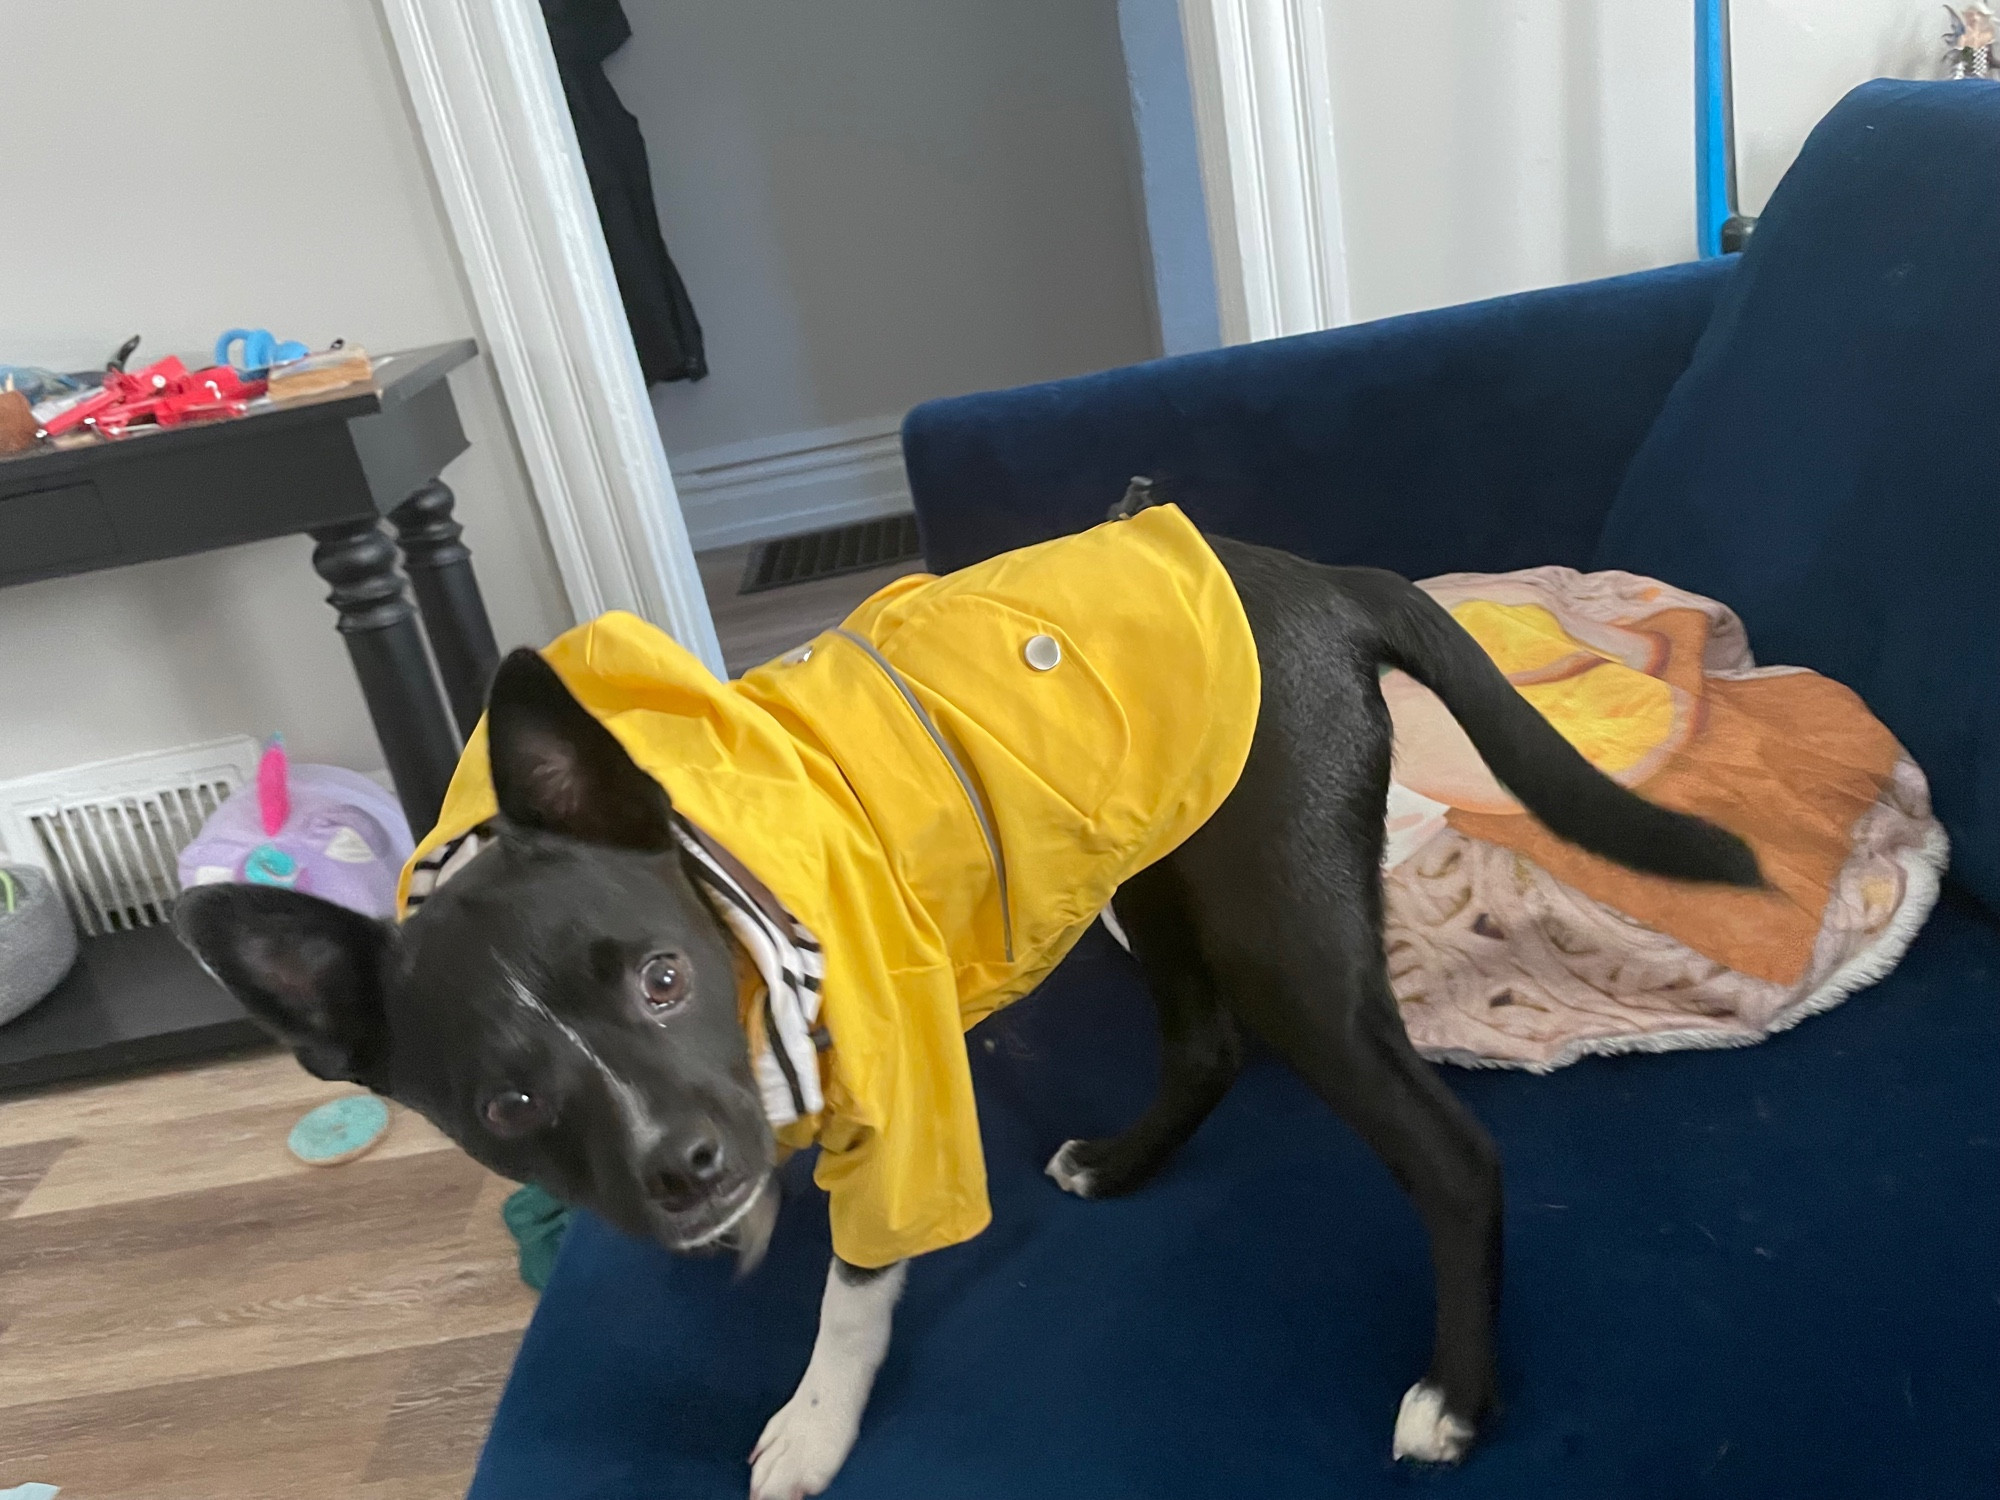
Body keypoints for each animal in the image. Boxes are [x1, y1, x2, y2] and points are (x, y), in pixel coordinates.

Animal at [180, 536, 1760, 1496]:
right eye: (506, 1106)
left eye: (660, 978)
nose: (682, 1169)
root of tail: (1315, 578)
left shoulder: (905, 1118)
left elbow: (852, 1295)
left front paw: (813, 1427)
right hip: (1154, 877)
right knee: (1205, 1044)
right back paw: (1120, 1162)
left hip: (1277, 931)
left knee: (1450, 1153)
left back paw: (1457, 1395)